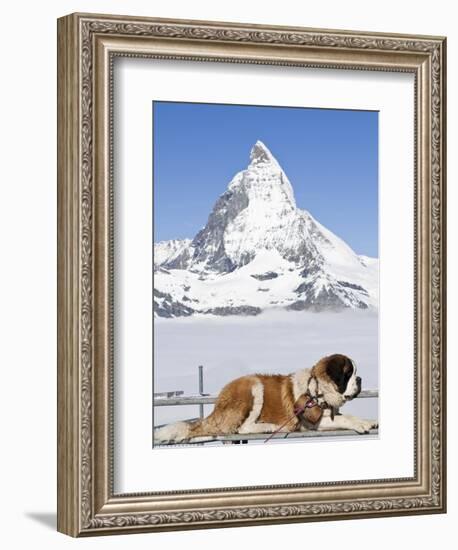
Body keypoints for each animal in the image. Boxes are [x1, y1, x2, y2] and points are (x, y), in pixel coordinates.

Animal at [154, 358, 376, 444]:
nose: (359, 379)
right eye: (349, 373)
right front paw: (362, 423)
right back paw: (269, 426)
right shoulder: (312, 422)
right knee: (241, 428)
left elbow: (345, 415)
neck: (318, 389)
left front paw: (370, 421)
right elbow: (346, 417)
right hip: (253, 386)